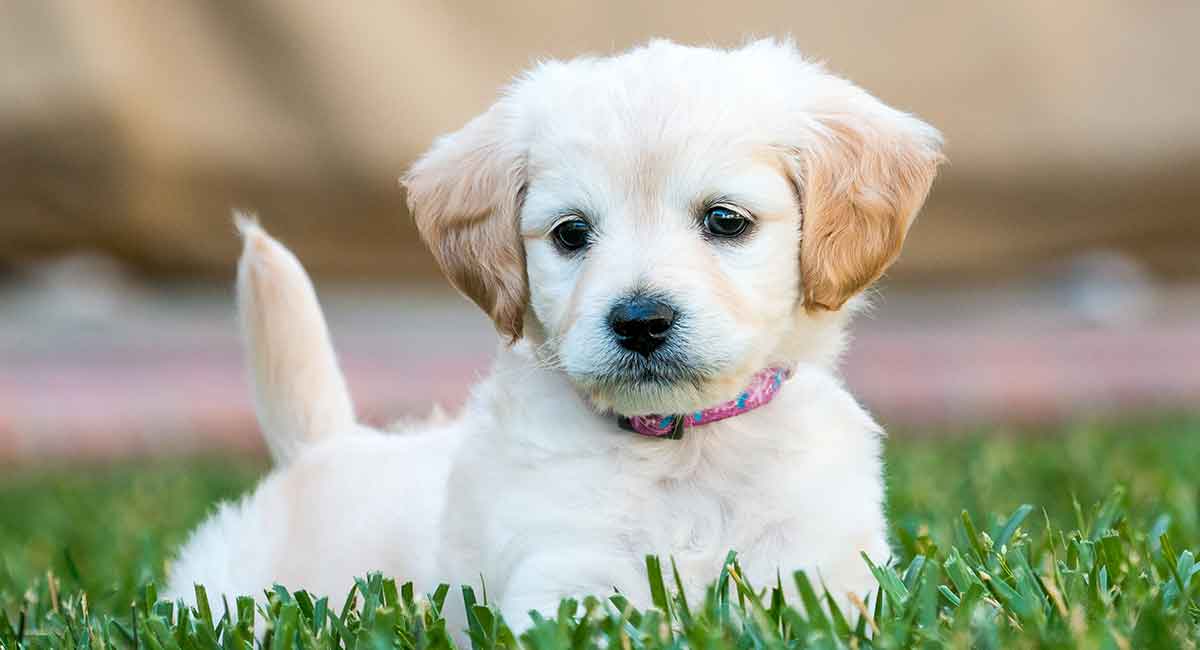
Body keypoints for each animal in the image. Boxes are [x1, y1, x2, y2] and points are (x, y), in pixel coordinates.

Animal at [169, 39, 940, 633]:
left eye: (725, 221)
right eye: (571, 233)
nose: (640, 321)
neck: (683, 451)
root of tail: (323, 446)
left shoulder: (821, 573)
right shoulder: (567, 581)